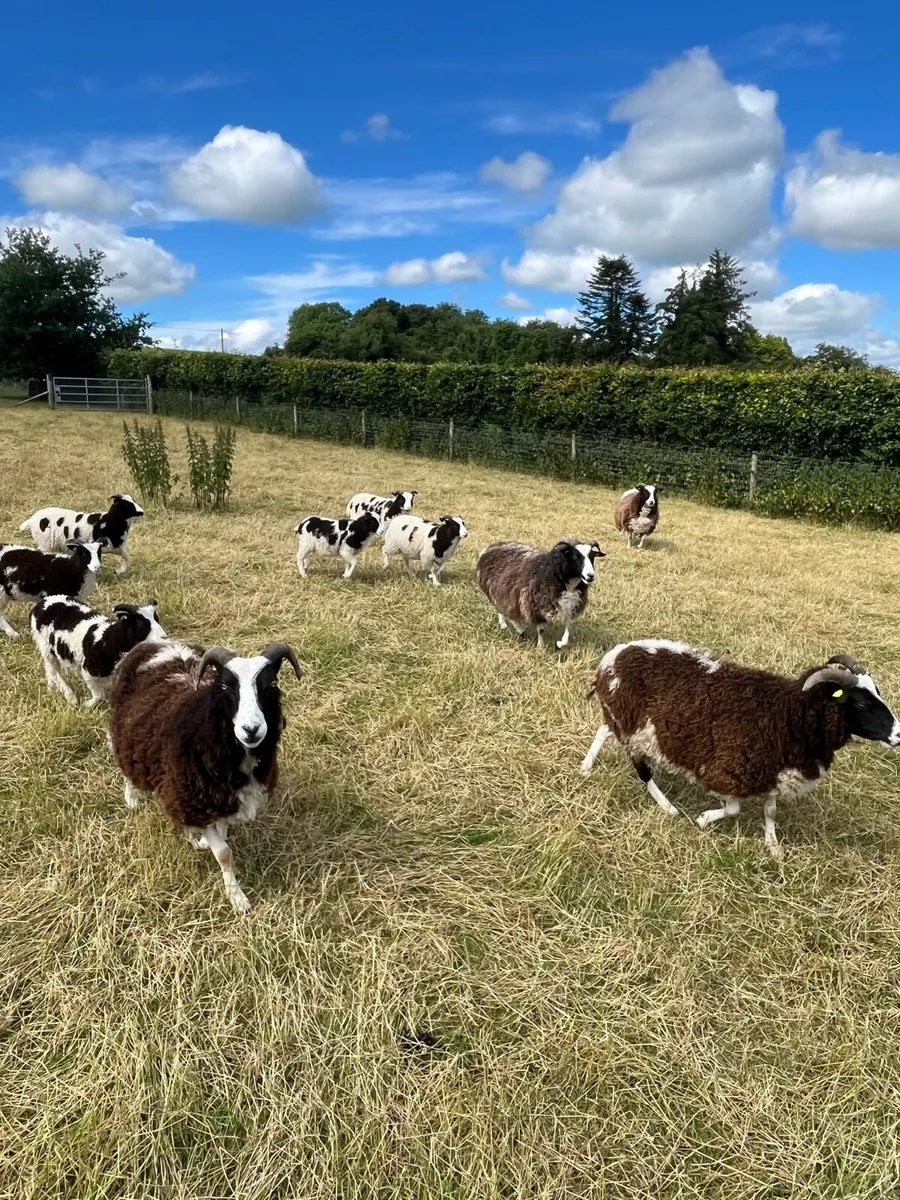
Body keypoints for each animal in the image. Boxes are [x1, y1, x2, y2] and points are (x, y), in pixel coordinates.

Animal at [31, 596, 167, 707]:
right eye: (142, 627)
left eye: (157, 620)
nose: (164, 637)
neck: (111, 639)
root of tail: (43, 602)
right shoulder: (88, 671)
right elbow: (98, 695)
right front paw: (87, 705)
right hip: (45, 647)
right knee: (54, 670)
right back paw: (70, 697)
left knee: (49, 670)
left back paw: (52, 689)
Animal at [108, 639, 302, 913]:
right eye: (225, 686)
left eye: (272, 684)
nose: (251, 729)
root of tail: (156, 642)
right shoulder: (195, 800)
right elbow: (224, 853)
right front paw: (237, 898)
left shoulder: (221, 801)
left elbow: (221, 835)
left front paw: (200, 841)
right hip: (125, 734)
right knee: (125, 763)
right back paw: (132, 799)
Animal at [476, 539, 605, 650]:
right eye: (574, 556)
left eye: (592, 556)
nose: (590, 576)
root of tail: (490, 548)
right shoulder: (535, 607)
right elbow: (541, 630)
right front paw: (541, 646)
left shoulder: (570, 607)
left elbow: (568, 629)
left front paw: (559, 644)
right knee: (509, 614)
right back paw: (520, 630)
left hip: (502, 593)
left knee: (503, 610)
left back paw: (504, 624)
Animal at [580, 640, 900, 856]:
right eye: (861, 703)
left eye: (878, 693)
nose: (898, 734)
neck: (789, 713)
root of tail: (615, 655)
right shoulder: (730, 770)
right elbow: (733, 809)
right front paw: (704, 819)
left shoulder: (771, 772)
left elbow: (770, 811)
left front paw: (773, 846)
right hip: (633, 728)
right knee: (642, 771)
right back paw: (668, 807)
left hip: (624, 720)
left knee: (603, 730)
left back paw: (586, 766)